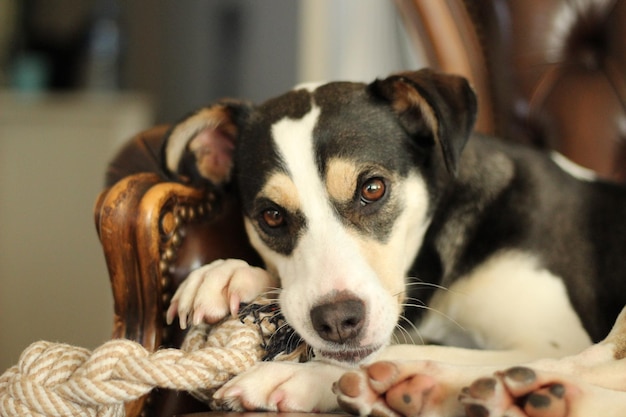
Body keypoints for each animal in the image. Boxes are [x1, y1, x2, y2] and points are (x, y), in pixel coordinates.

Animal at [160, 70, 624, 414]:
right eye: (271, 216)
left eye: (373, 188)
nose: (337, 321)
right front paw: (229, 275)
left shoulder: (551, 339)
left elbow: (400, 353)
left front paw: (303, 376)